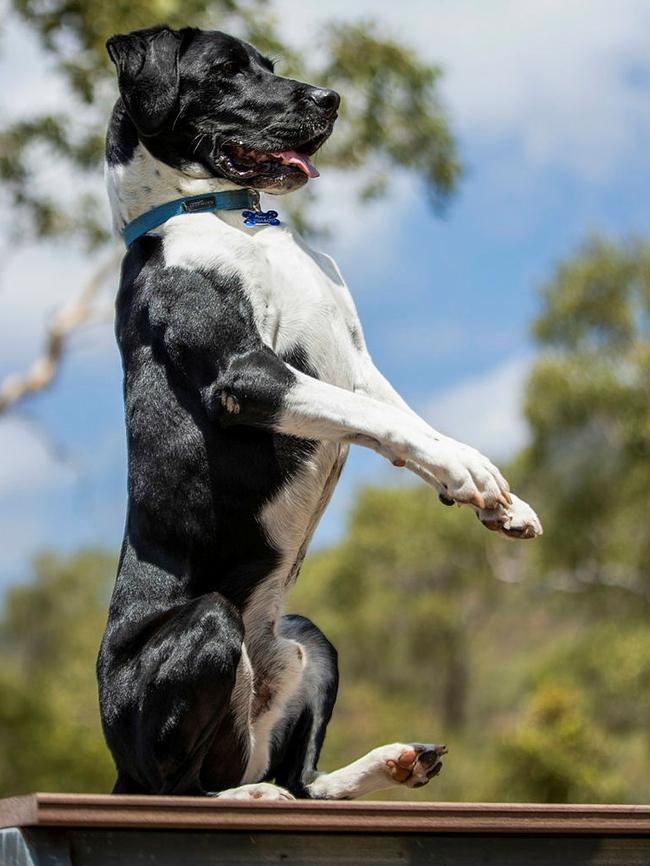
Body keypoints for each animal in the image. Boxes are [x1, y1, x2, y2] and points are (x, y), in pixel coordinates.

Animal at [97, 23, 540, 800]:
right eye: (225, 71)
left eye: (268, 63)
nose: (329, 99)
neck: (232, 218)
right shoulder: (250, 374)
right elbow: (391, 425)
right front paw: (471, 473)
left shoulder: (354, 362)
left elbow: (407, 422)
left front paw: (500, 501)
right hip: (210, 627)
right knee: (184, 785)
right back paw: (246, 795)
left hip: (309, 638)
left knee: (305, 779)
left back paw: (392, 760)